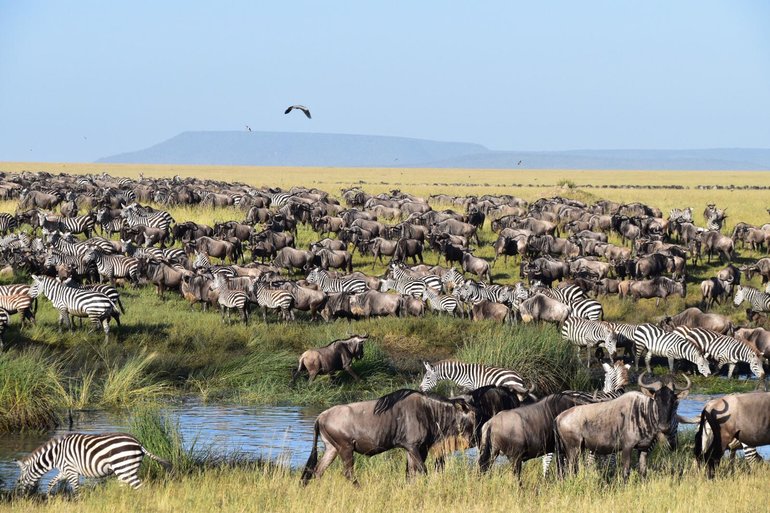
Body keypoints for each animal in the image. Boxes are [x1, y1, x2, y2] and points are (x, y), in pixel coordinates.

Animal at [13, 430, 171, 494]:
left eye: (18, 481)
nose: (20, 497)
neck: (56, 455)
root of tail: (139, 444)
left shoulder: (71, 471)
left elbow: (76, 490)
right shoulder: (65, 470)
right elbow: (51, 483)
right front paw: (49, 498)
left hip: (124, 468)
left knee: (140, 488)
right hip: (125, 470)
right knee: (125, 487)